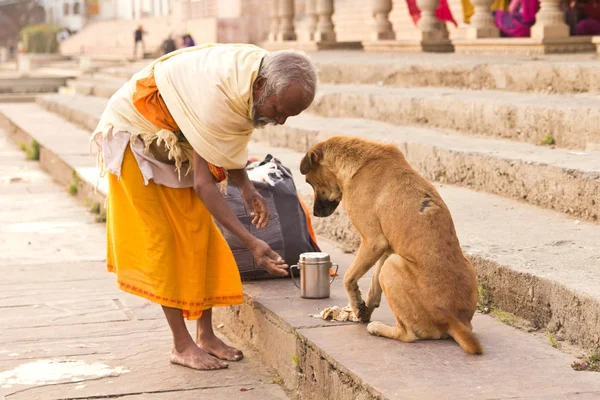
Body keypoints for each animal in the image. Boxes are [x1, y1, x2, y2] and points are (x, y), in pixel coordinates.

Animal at [300, 137, 482, 354]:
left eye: (310, 182)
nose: (315, 213)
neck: (360, 163)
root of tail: (454, 320)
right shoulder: (386, 248)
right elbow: (373, 286)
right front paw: (364, 308)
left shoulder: (373, 242)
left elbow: (349, 277)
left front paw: (356, 303)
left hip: (393, 265)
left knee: (407, 334)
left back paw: (378, 328)